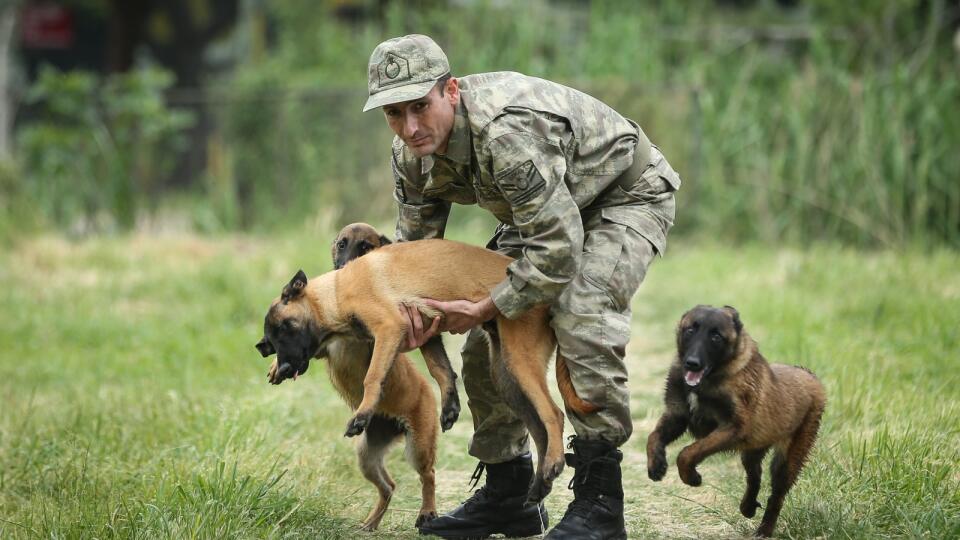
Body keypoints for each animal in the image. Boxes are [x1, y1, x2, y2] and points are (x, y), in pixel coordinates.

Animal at [255, 238, 592, 504]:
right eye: (273, 337)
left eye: (286, 327)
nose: (286, 365)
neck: (336, 292)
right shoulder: (426, 332)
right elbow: (441, 369)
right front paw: (450, 406)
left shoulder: (389, 328)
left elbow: (372, 377)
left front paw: (362, 415)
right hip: (506, 375)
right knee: (538, 428)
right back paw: (539, 485)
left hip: (520, 360)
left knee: (553, 414)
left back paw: (553, 464)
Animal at [644, 304, 824, 536]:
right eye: (690, 330)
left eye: (716, 336)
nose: (692, 364)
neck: (710, 379)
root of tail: (810, 376)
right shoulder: (677, 416)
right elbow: (653, 436)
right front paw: (656, 464)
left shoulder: (731, 428)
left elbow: (688, 452)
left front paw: (691, 477)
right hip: (753, 450)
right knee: (755, 476)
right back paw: (747, 507)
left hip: (787, 460)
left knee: (776, 496)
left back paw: (764, 530)